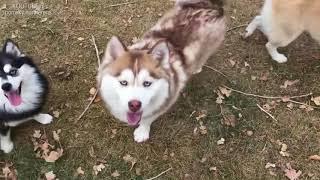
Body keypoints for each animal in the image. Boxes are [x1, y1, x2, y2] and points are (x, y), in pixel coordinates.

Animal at [97, 0, 225, 143]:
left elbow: (148, 118)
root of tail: (211, 4)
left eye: (147, 83)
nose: (134, 105)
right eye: (123, 82)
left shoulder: (166, 100)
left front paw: (142, 131)